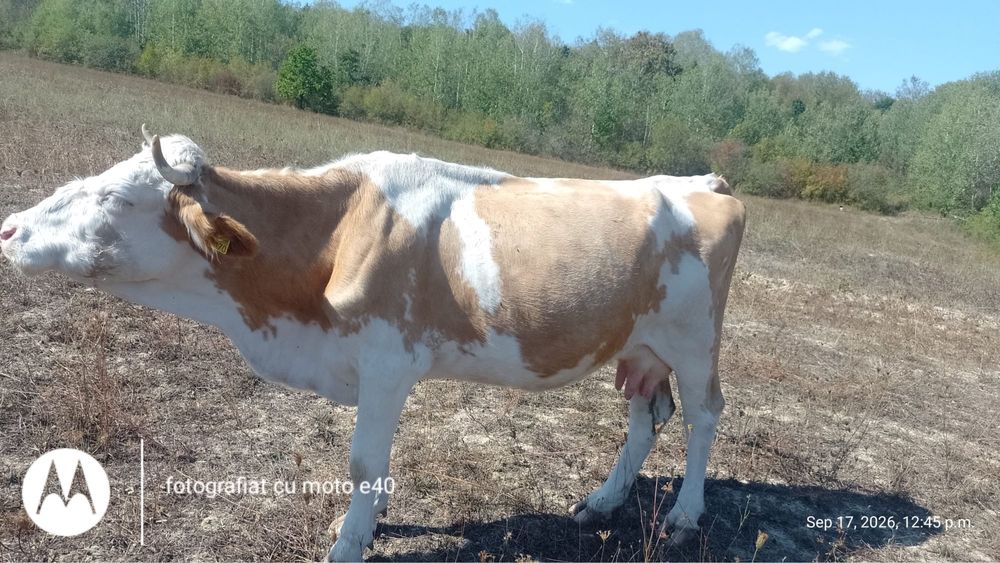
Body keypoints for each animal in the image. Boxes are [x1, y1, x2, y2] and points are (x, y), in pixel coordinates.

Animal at [0, 126, 745, 561]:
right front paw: (375, 514)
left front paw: (352, 538)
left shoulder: (388, 361)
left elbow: (361, 462)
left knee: (705, 416)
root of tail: (701, 182)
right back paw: (602, 502)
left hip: (695, 339)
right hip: (641, 348)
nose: (8, 228)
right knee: (646, 419)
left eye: (112, 199)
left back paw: (685, 515)